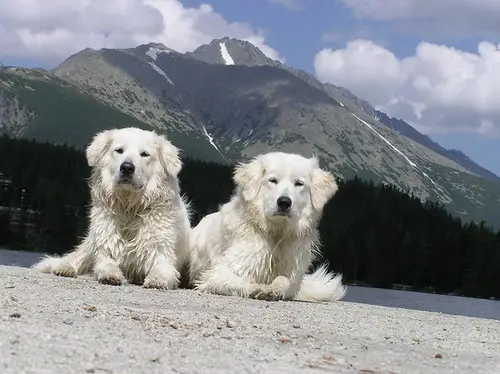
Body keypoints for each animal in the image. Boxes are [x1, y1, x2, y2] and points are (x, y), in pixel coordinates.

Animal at [31, 126, 190, 290]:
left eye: (145, 154)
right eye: (119, 150)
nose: (127, 167)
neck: (130, 209)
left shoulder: (161, 254)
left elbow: (162, 270)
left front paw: (156, 280)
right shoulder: (106, 248)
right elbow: (105, 265)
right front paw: (111, 275)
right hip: (92, 241)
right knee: (78, 257)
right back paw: (65, 267)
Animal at [188, 150, 348, 302]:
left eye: (299, 183)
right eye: (272, 180)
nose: (284, 202)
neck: (276, 234)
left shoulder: (293, 277)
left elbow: (284, 280)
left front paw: (273, 289)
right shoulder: (218, 273)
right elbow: (244, 281)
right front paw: (260, 289)